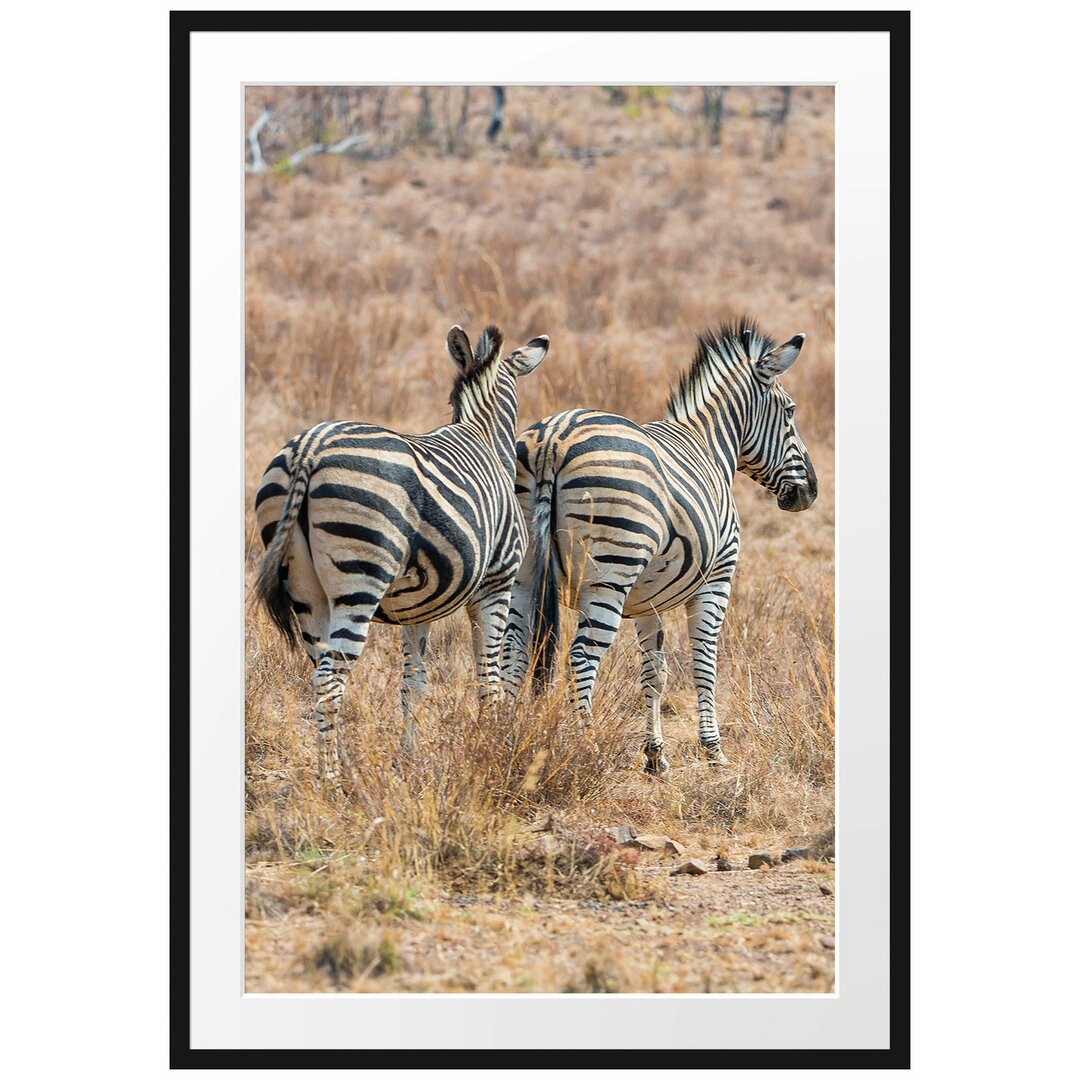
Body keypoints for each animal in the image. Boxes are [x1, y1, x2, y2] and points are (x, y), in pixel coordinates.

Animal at [253, 324, 548, 781]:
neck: (484, 435)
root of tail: (310, 447)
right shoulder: (497, 584)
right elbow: (488, 674)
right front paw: (493, 745)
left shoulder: (417, 607)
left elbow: (414, 681)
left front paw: (408, 758)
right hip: (361, 577)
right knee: (331, 679)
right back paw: (331, 781)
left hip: (305, 590)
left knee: (320, 672)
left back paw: (342, 768)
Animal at [501, 319, 812, 777]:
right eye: (790, 411)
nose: (810, 492)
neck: (709, 444)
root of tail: (553, 441)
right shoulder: (717, 579)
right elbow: (704, 662)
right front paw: (713, 750)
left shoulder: (648, 598)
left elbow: (655, 671)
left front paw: (655, 755)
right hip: (611, 571)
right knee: (581, 655)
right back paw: (586, 748)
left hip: (525, 571)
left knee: (513, 648)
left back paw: (501, 736)